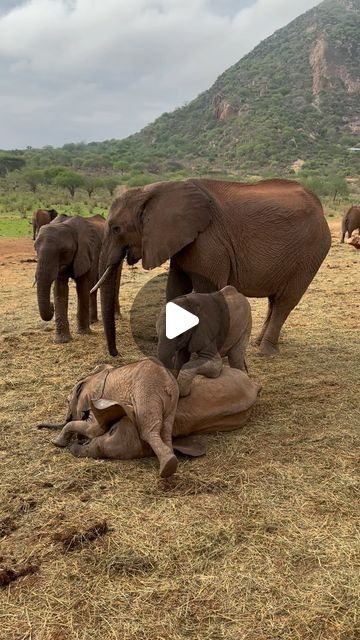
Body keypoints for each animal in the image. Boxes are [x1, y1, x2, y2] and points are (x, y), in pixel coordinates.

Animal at [34, 215, 121, 344]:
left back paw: (116, 317)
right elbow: (60, 289)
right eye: (35, 249)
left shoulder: (89, 250)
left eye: (64, 251)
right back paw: (93, 321)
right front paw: (62, 340)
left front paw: (83, 332)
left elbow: (83, 286)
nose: (51, 305)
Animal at [37, 358, 180, 478]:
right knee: (166, 431)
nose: (38, 426)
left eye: (67, 401)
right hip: (170, 402)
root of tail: (168, 384)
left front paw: (55, 443)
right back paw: (170, 463)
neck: (91, 378)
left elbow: (94, 429)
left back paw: (167, 467)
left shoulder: (95, 399)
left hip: (145, 393)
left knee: (147, 431)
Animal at [96, 178, 332, 358]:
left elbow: (205, 291)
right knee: (274, 301)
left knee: (286, 300)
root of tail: (320, 208)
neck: (153, 189)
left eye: (116, 229)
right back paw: (257, 343)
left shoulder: (209, 243)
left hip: (311, 253)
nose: (116, 355)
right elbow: (175, 289)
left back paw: (265, 351)